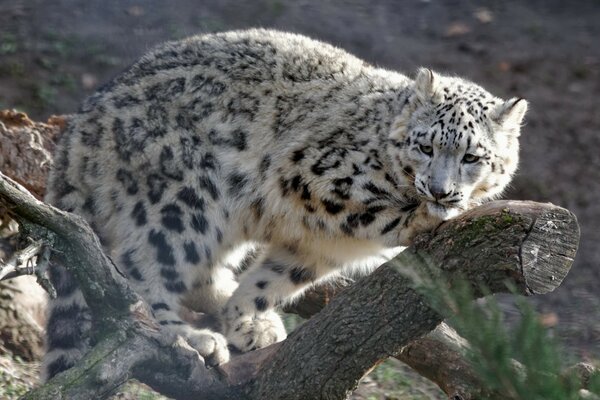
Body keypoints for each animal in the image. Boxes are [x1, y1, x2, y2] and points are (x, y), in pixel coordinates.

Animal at [42, 28, 524, 378]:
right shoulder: (315, 178)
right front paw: (422, 217)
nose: (440, 190)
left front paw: (246, 319)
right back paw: (188, 338)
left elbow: (275, 279)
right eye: (425, 146)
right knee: (141, 266)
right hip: (185, 200)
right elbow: (373, 212)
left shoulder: (318, 245)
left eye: (472, 157)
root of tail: (78, 130)